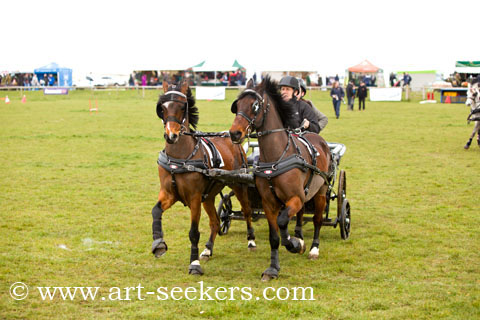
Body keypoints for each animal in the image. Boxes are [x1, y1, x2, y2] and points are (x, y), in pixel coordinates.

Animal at [152, 80, 256, 276]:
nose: (171, 136)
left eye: (182, 107)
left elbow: (193, 232)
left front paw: (194, 264)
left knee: (247, 211)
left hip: (239, 185)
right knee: (215, 222)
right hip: (208, 196)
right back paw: (208, 250)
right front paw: (158, 243)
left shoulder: (194, 198)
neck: (181, 158)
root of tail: (231, 138)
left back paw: (251, 240)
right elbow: (156, 211)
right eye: (162, 107)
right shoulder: (169, 194)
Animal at [229, 77, 330, 280]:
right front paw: (273, 268)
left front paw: (294, 244)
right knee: (300, 215)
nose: (234, 133)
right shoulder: (269, 203)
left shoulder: (295, 198)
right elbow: (274, 236)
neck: (276, 158)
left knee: (317, 220)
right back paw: (299, 237)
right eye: (237, 105)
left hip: (321, 192)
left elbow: (283, 221)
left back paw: (313, 248)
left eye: (255, 105)